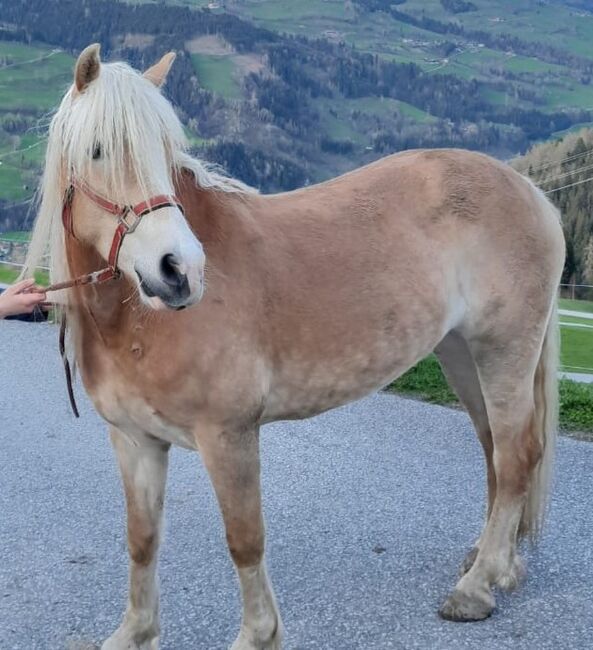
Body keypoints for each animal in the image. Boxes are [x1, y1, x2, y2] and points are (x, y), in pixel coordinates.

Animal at [25, 43, 564, 644]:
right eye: (97, 150)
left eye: (166, 152)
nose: (179, 271)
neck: (137, 324)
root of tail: (531, 192)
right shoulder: (134, 440)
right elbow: (142, 540)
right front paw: (135, 633)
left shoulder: (228, 435)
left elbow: (244, 539)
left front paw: (257, 636)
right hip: (461, 354)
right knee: (495, 450)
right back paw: (496, 565)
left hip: (504, 351)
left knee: (516, 455)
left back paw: (477, 586)